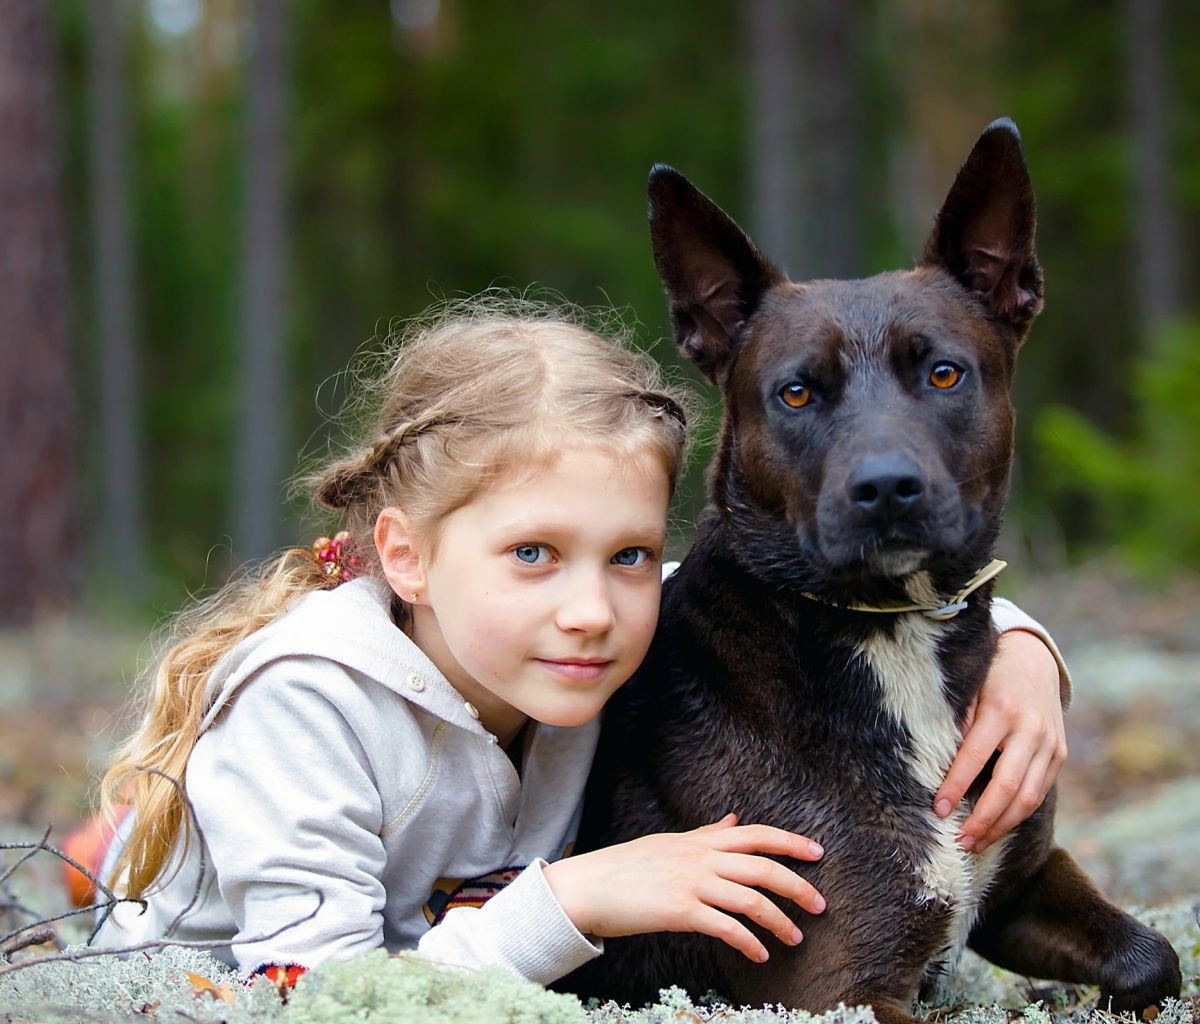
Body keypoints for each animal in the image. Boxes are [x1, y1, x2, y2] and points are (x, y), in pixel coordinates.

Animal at [561, 117, 1180, 1013]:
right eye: (795, 393)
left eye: (944, 372)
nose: (886, 488)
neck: (891, 631)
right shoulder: (843, 984)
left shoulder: (1018, 882)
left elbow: (1154, 955)